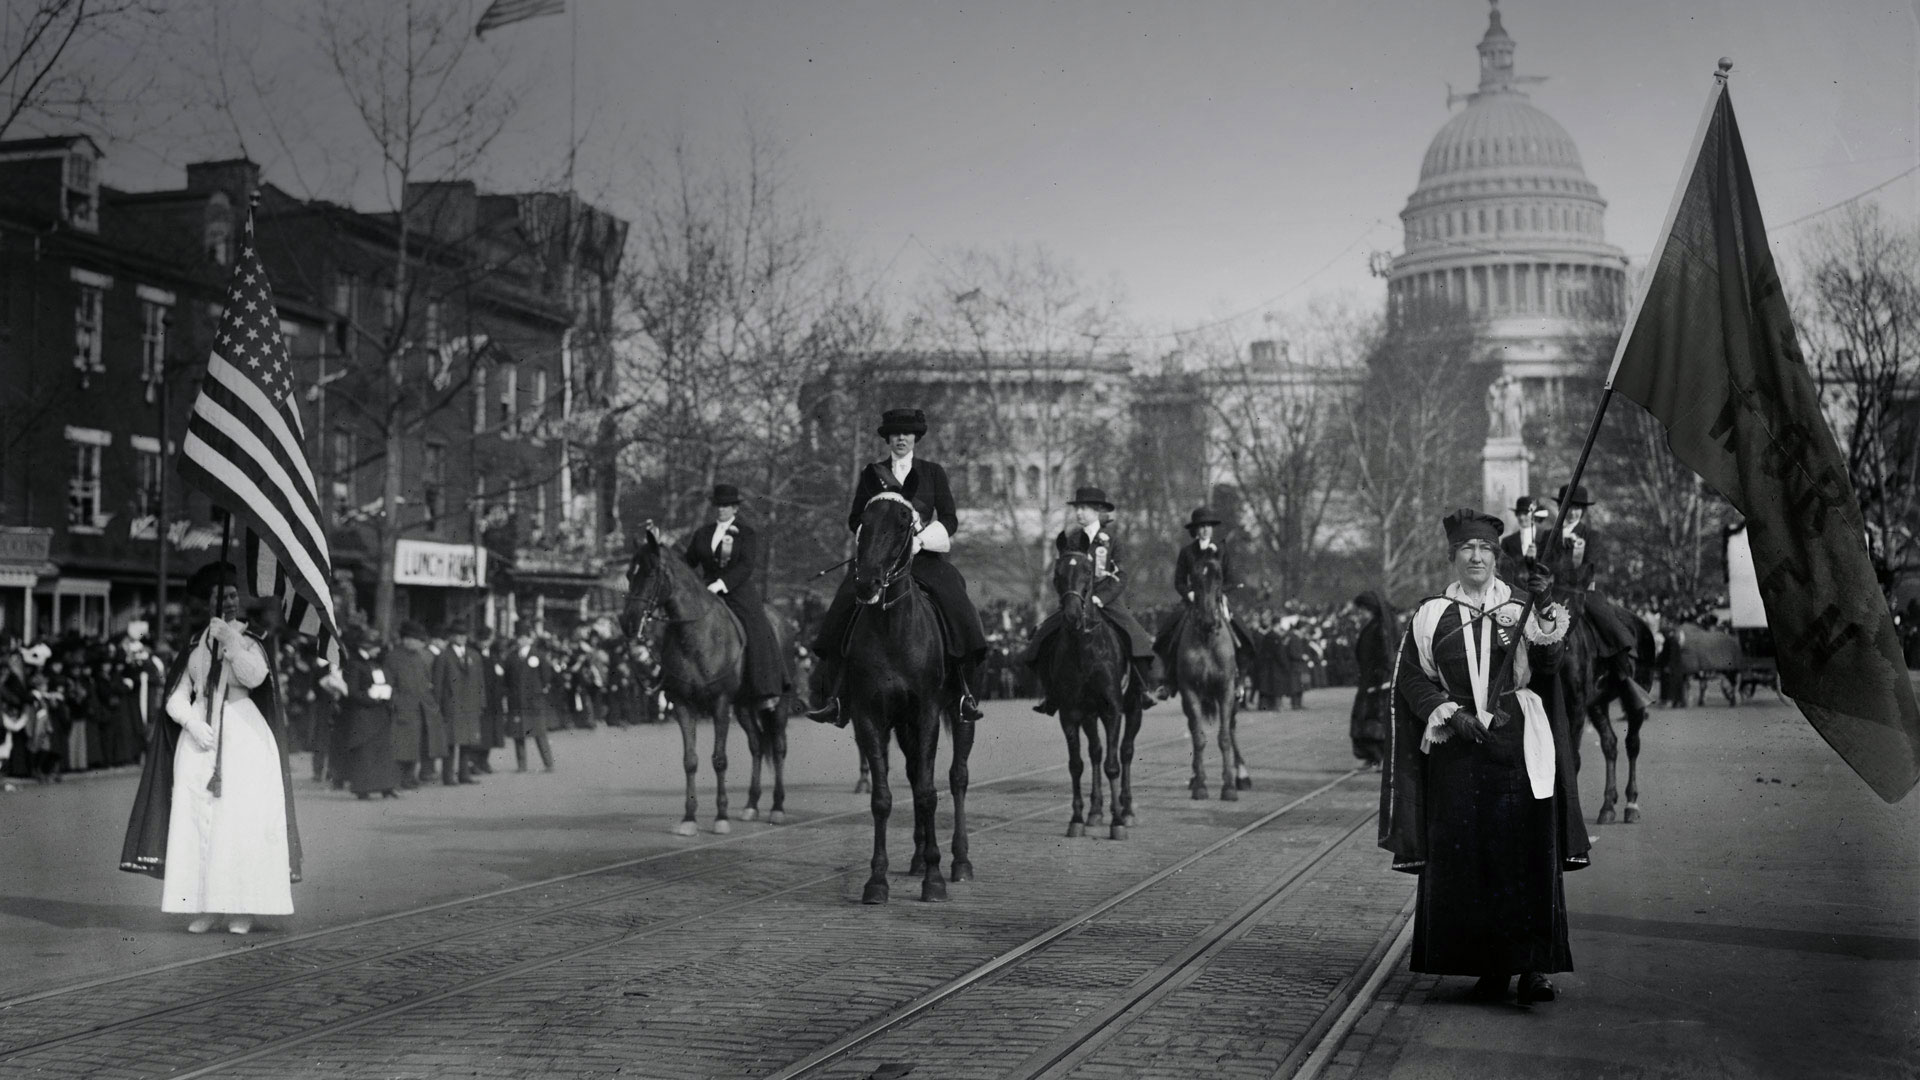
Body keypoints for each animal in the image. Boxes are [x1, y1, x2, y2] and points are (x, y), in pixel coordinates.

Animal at [622, 522, 787, 834]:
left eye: (650, 573)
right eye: (628, 574)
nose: (627, 623)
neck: (697, 634)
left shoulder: (720, 703)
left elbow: (719, 760)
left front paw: (721, 817)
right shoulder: (682, 704)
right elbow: (690, 761)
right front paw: (689, 818)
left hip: (778, 702)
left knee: (779, 746)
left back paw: (778, 806)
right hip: (744, 705)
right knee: (757, 744)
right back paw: (751, 804)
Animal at [848, 495, 975, 899]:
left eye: (904, 523)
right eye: (863, 522)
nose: (866, 583)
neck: (893, 628)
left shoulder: (928, 712)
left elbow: (927, 792)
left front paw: (934, 879)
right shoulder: (870, 717)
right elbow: (883, 798)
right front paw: (877, 879)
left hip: (961, 712)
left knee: (957, 777)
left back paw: (959, 861)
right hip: (904, 727)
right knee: (915, 769)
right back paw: (919, 857)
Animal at [1052, 549, 1136, 837]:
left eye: (1088, 572)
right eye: (1057, 572)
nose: (1072, 616)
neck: (1086, 650)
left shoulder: (1113, 710)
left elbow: (1113, 765)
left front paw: (1118, 822)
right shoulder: (1070, 713)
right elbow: (1076, 764)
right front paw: (1077, 818)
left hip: (1134, 710)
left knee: (1125, 752)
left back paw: (1126, 810)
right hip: (1089, 716)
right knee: (1096, 752)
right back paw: (1096, 811)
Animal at [1167, 549, 1244, 795]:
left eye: (1218, 576)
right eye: (1194, 577)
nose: (1209, 620)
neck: (1207, 638)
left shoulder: (1226, 689)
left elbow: (1225, 736)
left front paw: (1229, 786)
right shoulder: (1190, 690)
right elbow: (1198, 737)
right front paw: (1200, 784)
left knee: (1231, 727)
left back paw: (1241, 774)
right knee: (1193, 728)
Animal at [1559, 576, 1651, 818]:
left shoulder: (1576, 706)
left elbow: (1572, 759)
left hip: (1635, 702)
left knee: (1632, 744)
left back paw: (1631, 804)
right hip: (1597, 705)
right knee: (1610, 743)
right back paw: (1608, 805)